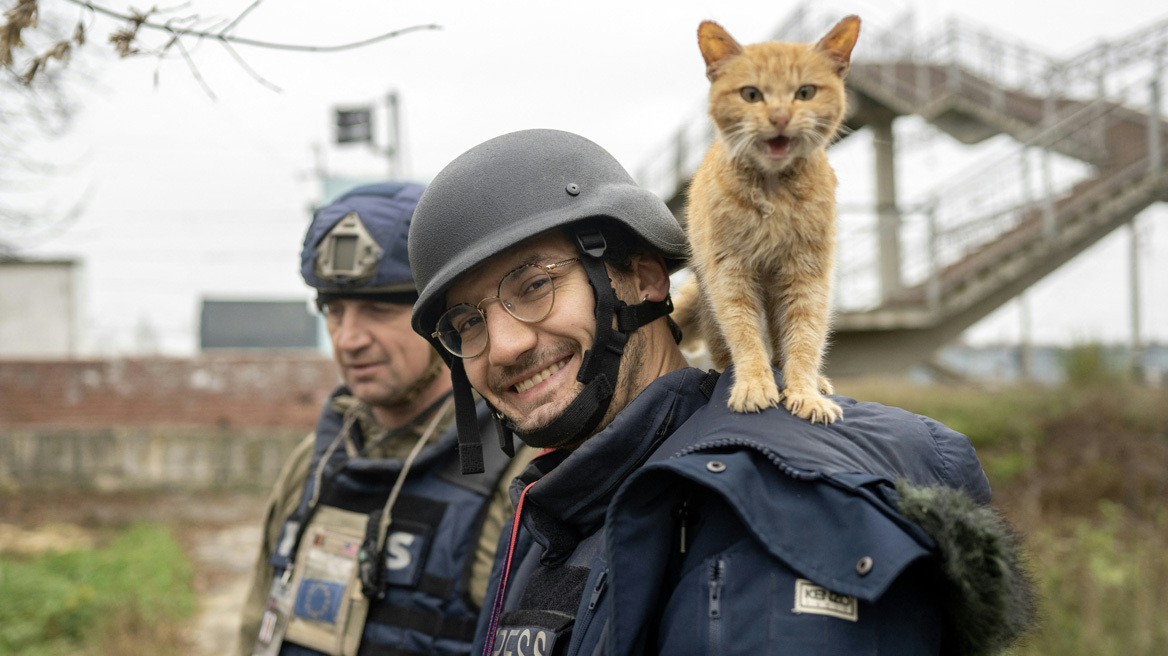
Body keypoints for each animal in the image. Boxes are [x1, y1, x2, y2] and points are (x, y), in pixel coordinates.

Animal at [682, 17, 859, 420]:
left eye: (805, 92)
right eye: (751, 95)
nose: (779, 116)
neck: (774, 194)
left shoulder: (807, 275)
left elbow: (805, 338)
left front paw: (805, 392)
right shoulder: (730, 274)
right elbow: (745, 334)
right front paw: (753, 385)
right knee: (722, 350)